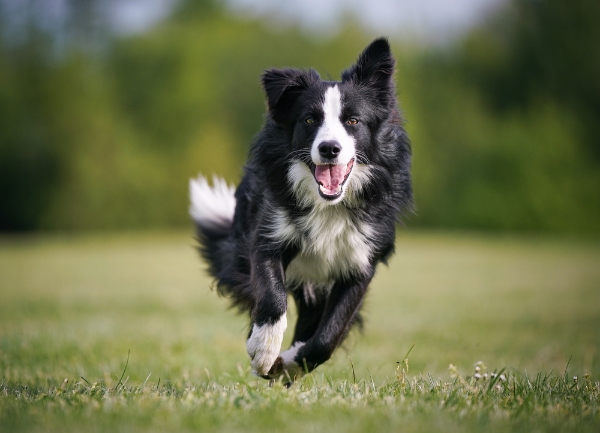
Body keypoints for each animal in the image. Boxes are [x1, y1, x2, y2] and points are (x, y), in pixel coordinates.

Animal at [191, 38, 412, 382]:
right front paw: (264, 351)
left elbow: (328, 334)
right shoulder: (267, 236)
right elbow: (272, 297)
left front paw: (292, 363)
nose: (329, 148)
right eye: (310, 119)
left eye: (353, 121)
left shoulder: (362, 262)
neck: (328, 206)